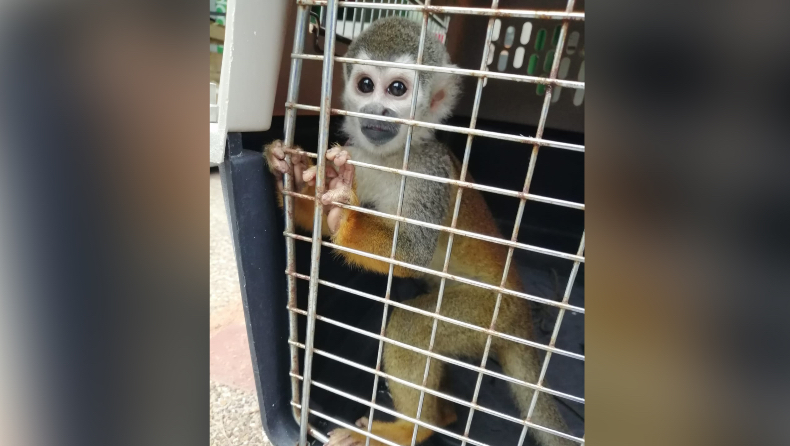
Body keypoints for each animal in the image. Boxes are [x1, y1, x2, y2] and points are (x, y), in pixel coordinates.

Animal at [265, 17, 575, 446]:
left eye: (397, 89)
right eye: (365, 85)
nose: (375, 111)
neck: (393, 158)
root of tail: (522, 318)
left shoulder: (430, 174)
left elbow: (411, 253)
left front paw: (344, 212)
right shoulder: (359, 157)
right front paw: (293, 175)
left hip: (483, 313)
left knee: (410, 331)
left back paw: (410, 428)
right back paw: (444, 414)